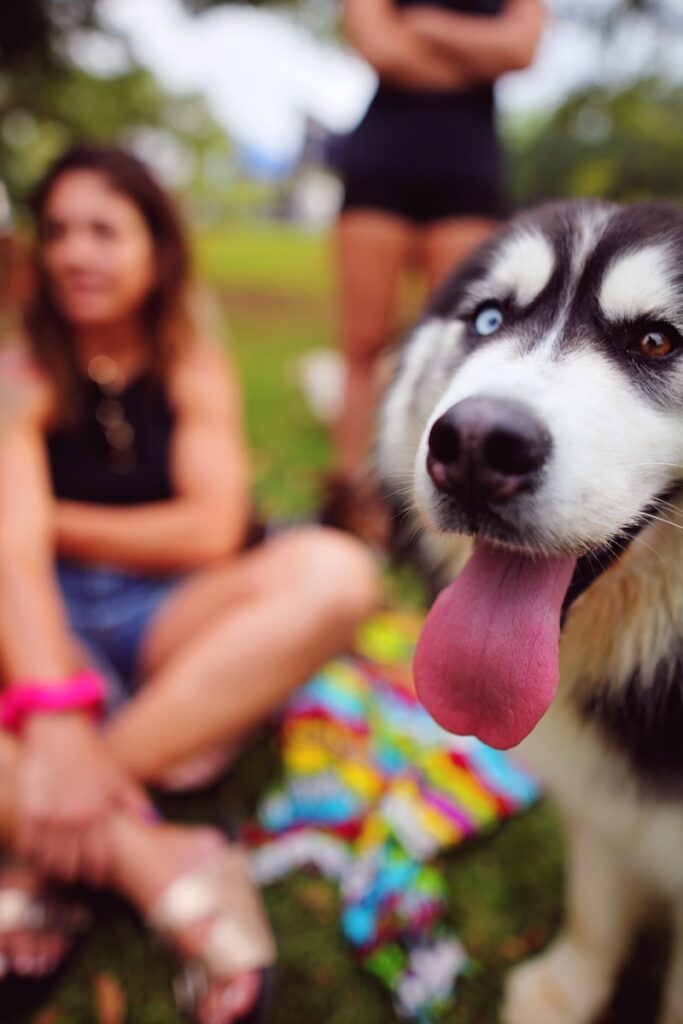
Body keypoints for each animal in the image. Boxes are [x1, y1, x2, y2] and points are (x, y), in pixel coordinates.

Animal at [378, 199, 683, 1024]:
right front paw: (567, 991)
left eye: (656, 340)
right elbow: (595, 905)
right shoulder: (606, 810)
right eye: (487, 318)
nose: (476, 446)